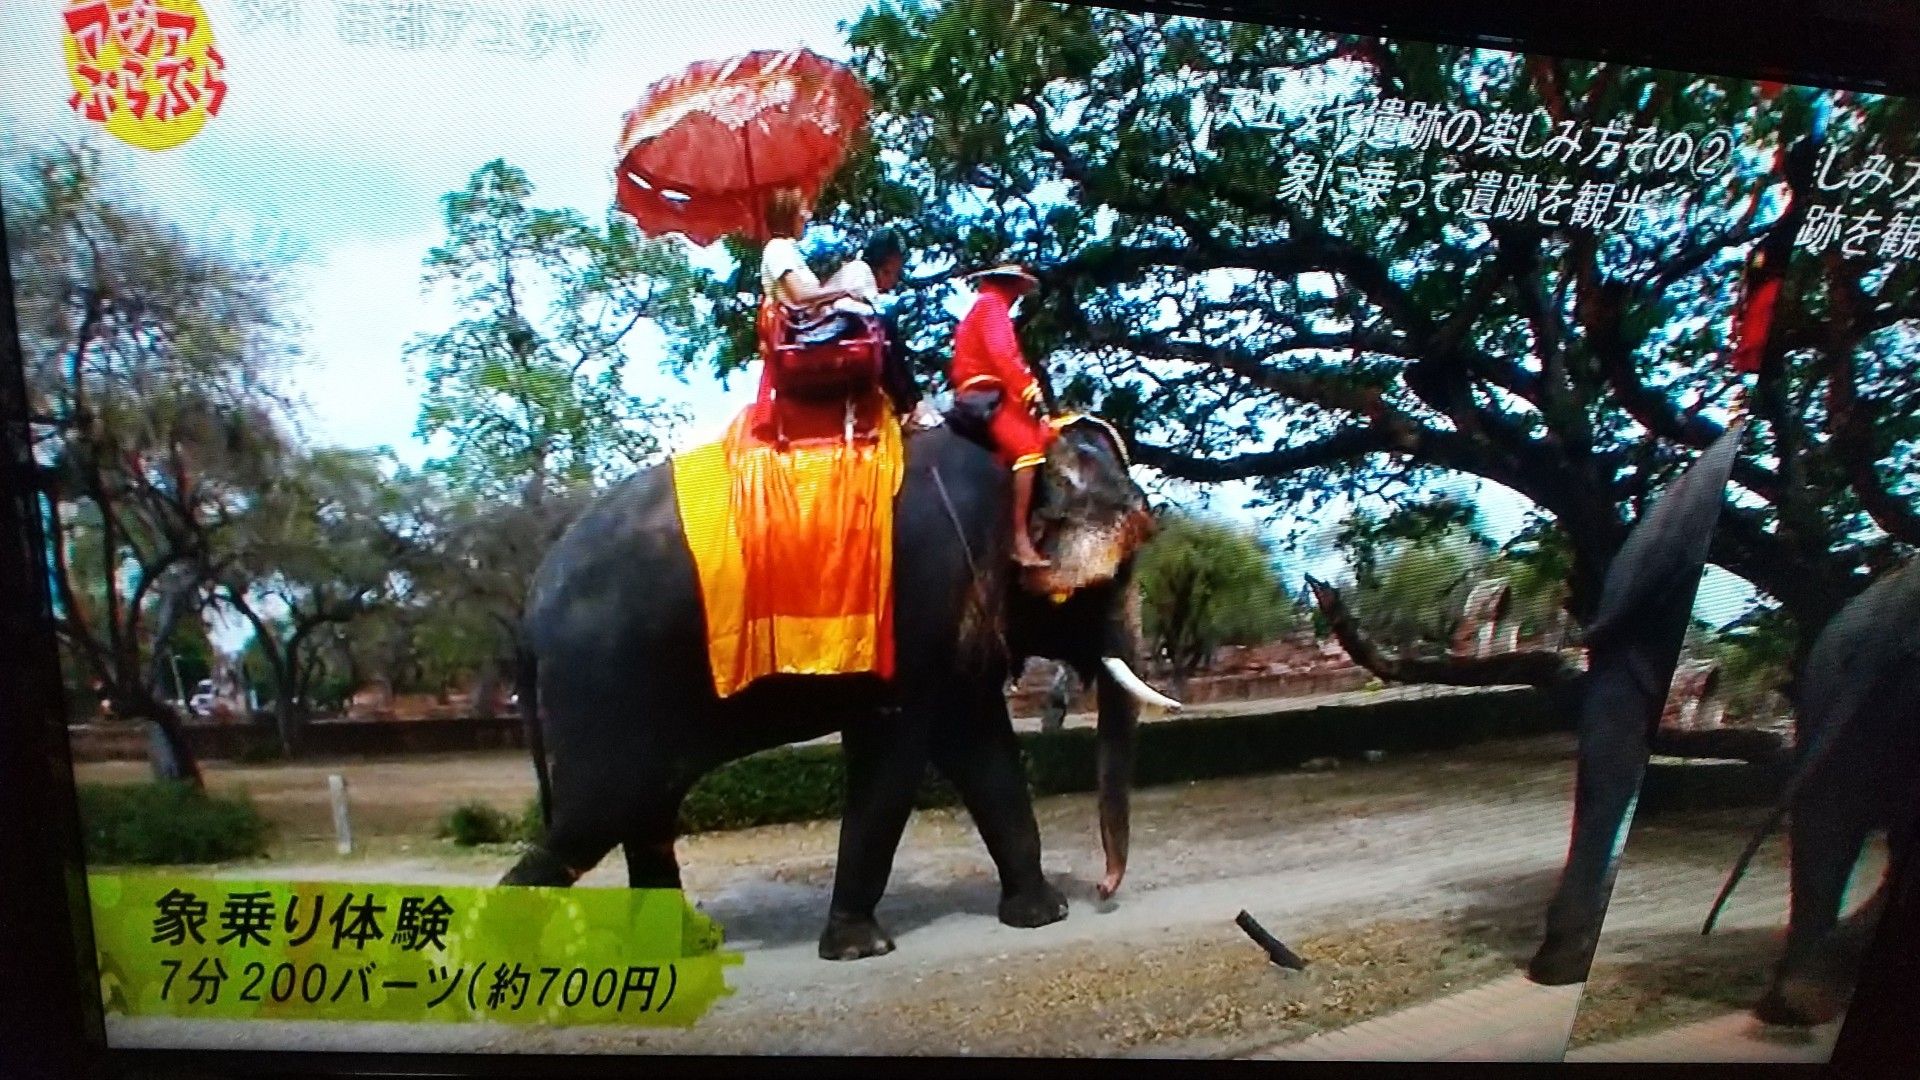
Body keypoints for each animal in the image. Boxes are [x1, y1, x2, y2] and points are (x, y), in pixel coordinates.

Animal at [499, 413, 1167, 957]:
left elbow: (982, 750)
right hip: (603, 683)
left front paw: (1043, 914)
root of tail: (530, 606)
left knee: (643, 813)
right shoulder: (917, 603)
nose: (1105, 889)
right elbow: (894, 756)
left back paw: (687, 946)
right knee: (596, 818)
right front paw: (861, 948)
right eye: (1108, 579)